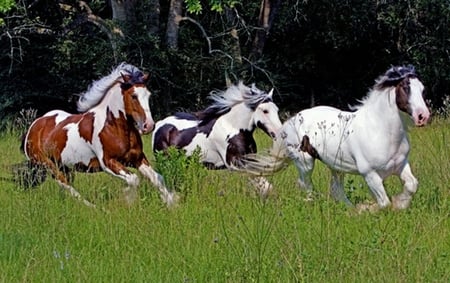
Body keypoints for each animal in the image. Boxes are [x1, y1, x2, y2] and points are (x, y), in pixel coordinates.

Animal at [22, 63, 178, 207]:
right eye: (134, 96)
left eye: (148, 95)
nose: (149, 125)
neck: (114, 127)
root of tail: (33, 127)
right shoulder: (108, 162)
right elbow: (133, 179)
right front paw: (128, 202)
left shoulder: (137, 158)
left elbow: (157, 178)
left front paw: (172, 204)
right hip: (48, 165)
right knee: (65, 185)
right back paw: (93, 207)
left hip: (65, 166)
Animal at [243, 66, 428, 211]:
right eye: (405, 87)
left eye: (422, 89)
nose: (423, 116)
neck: (380, 131)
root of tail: (291, 121)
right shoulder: (370, 174)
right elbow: (384, 203)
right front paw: (367, 209)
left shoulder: (401, 165)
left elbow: (412, 185)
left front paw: (400, 204)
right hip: (305, 162)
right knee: (306, 185)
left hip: (336, 166)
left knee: (336, 189)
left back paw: (349, 210)